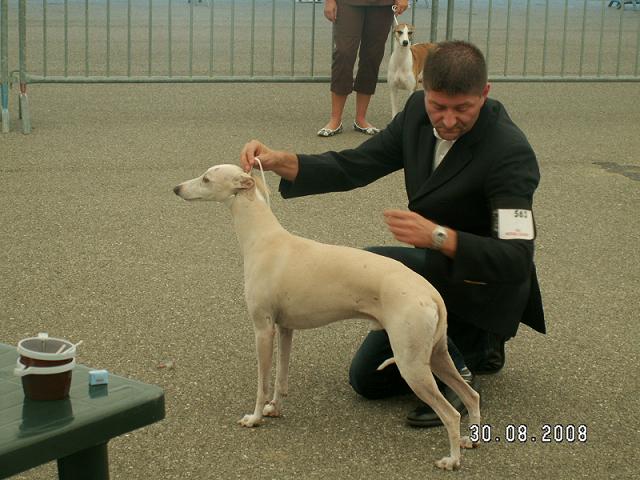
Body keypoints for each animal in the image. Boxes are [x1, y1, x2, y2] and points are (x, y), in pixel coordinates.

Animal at [172, 164, 482, 468]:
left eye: (206, 178)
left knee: (451, 413)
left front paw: (255, 417)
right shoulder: (284, 328)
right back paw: (471, 440)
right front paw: (275, 408)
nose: (176, 188)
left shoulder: (263, 329)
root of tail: (431, 293)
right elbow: (281, 378)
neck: (263, 238)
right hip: (436, 355)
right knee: (470, 395)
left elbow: (263, 383)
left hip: (412, 364)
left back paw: (452, 460)